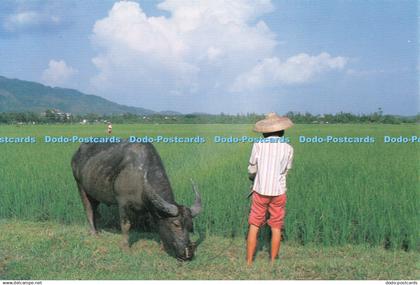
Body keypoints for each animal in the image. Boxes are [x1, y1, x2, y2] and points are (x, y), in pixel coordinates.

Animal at [70, 141, 202, 260]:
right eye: (176, 224)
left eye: (191, 226)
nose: (188, 253)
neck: (140, 178)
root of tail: (76, 155)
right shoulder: (122, 202)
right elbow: (126, 225)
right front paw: (125, 247)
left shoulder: (151, 207)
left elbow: (155, 224)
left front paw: (162, 245)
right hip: (80, 186)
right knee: (88, 209)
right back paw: (94, 233)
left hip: (94, 194)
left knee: (94, 209)